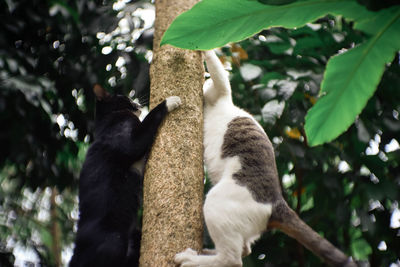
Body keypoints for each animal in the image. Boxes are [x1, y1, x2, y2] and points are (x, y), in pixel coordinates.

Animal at [70, 86, 181, 267]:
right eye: (124, 98)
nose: (137, 102)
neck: (110, 119)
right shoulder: (130, 142)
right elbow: (150, 119)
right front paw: (170, 101)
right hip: (114, 242)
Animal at [173, 50, 354, 267]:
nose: (205, 83)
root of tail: (277, 202)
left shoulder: (221, 91)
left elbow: (217, 69)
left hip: (217, 201)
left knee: (232, 259)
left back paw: (193, 259)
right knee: (244, 250)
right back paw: (207, 253)